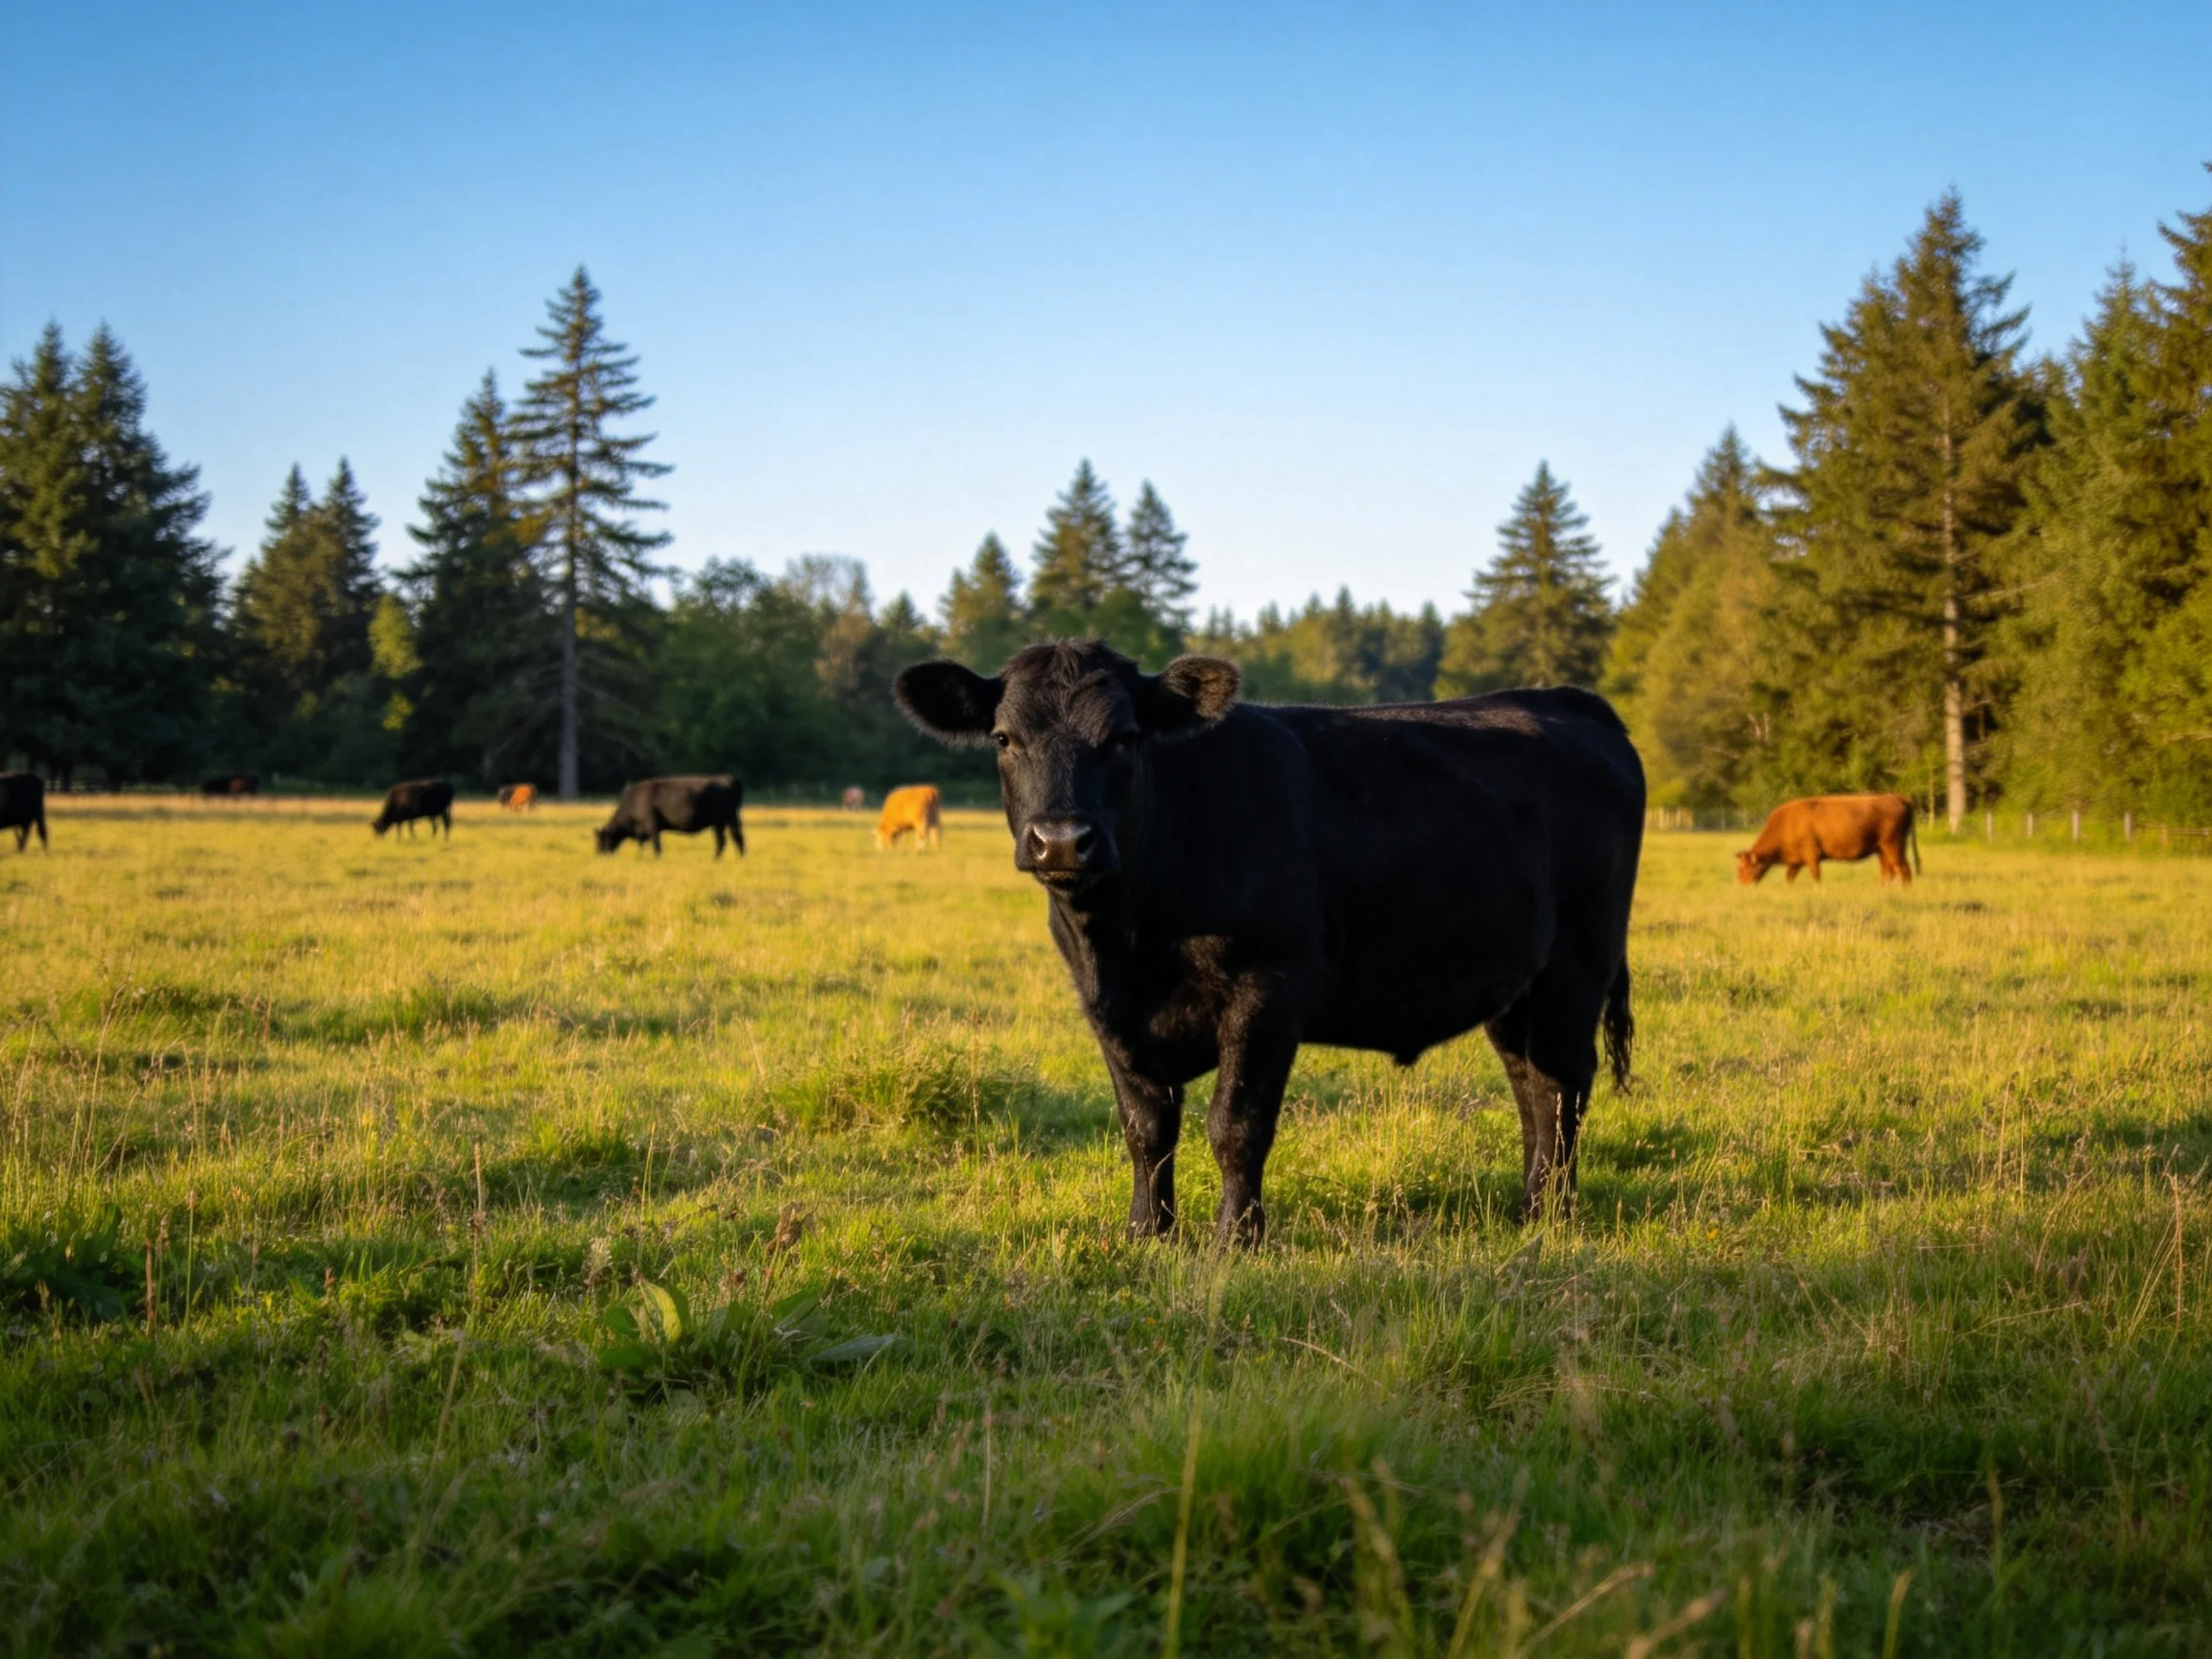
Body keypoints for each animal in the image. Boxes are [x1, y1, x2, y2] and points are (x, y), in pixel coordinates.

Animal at [596, 775, 745, 857]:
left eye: (603, 838)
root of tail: (727, 778)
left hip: (720, 822)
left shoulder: (652, 826)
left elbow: (656, 846)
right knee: (735, 838)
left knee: (724, 840)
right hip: (727, 822)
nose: (599, 853)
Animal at [895, 640, 1645, 1244]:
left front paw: (1236, 1239)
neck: (1126, 938)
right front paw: (1146, 1234)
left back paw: (1553, 1214)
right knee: (1528, 1084)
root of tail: (1566, 701)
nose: (1060, 840)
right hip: (1516, 982)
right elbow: (1145, 1129)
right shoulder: (1105, 1008)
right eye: (1003, 738)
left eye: (1126, 738)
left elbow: (1236, 1125)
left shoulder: (1269, 991)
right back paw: (1527, 1207)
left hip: (1578, 963)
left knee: (1562, 1082)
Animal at [1736, 794, 1919, 886]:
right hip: (1882, 850)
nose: (1743, 885)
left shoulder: (1812, 857)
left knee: (1903, 869)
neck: (1787, 823)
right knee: (1888, 871)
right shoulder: (1797, 861)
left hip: (1893, 846)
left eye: (1744, 868)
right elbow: (1790, 876)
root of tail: (1898, 798)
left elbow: (1815, 875)